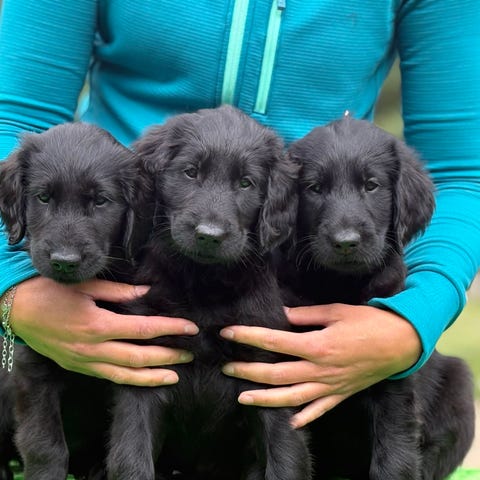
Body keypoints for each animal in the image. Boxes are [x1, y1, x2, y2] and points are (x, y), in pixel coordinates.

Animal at [0, 122, 151, 479]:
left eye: (100, 201)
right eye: (43, 197)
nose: (64, 261)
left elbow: (130, 446)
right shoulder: (33, 366)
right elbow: (44, 444)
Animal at [105, 105, 312, 480]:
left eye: (246, 183)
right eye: (190, 173)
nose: (209, 235)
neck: (204, 285)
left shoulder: (269, 376)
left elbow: (286, 459)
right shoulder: (143, 368)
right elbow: (131, 457)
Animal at [279, 116, 475, 479]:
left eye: (371, 185)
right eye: (314, 188)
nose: (345, 241)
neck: (339, 284)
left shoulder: (389, 369)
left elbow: (395, 451)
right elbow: (287, 448)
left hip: (459, 387)